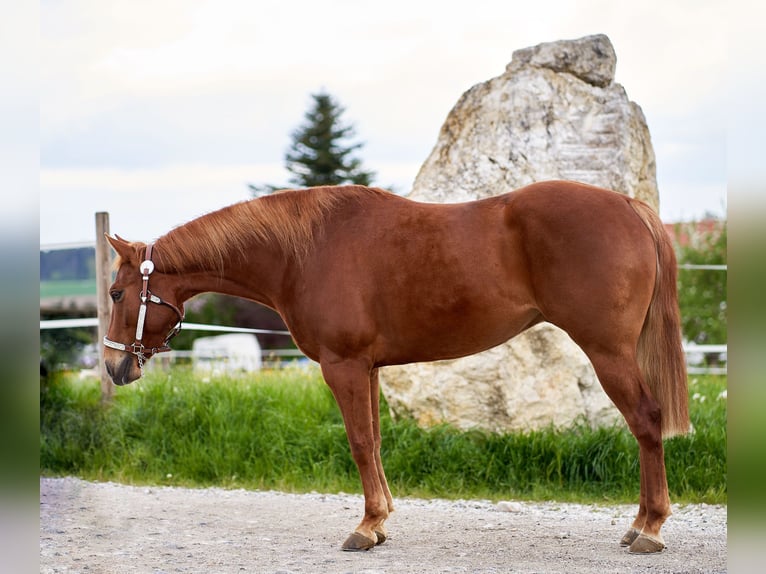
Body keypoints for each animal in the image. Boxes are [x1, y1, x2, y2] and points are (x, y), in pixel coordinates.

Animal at [100, 182, 688, 556]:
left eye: (116, 293)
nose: (112, 366)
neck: (303, 253)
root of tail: (630, 207)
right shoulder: (369, 368)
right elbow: (377, 442)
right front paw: (380, 522)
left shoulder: (343, 366)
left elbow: (360, 443)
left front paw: (365, 527)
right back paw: (638, 525)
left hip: (608, 351)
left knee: (646, 421)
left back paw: (651, 530)